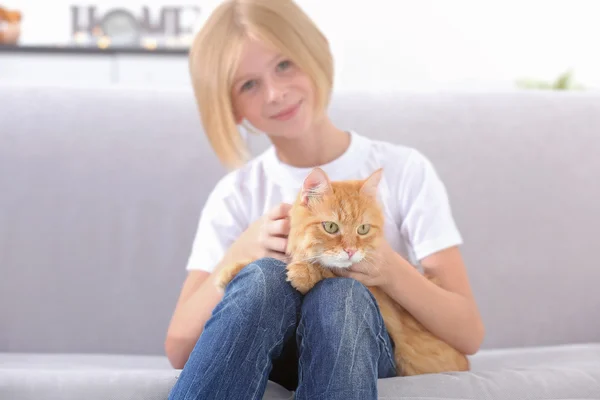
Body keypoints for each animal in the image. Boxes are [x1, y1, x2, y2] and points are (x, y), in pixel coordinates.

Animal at [214, 166, 468, 376]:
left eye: (363, 229)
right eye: (331, 227)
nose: (350, 250)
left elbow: (328, 271)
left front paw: (304, 273)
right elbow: (261, 261)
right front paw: (230, 270)